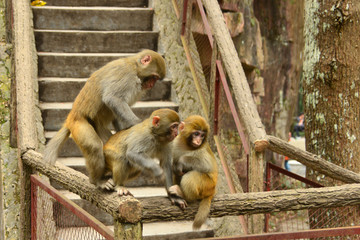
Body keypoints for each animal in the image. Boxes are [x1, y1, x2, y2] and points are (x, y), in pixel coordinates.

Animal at [43, 49, 166, 189]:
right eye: (154, 77)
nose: (152, 84)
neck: (135, 67)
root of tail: (71, 117)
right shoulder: (126, 75)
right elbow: (113, 98)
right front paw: (137, 123)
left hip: (98, 126)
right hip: (79, 124)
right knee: (94, 146)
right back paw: (97, 180)